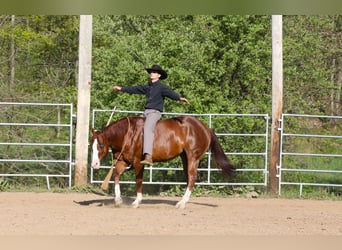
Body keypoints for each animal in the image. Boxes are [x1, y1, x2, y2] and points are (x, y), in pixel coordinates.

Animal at [91, 115, 235, 209]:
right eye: (91, 145)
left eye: (101, 144)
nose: (94, 164)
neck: (129, 134)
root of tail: (205, 127)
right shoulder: (123, 161)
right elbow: (116, 176)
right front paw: (118, 200)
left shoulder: (138, 163)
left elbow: (138, 180)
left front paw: (137, 202)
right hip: (185, 158)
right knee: (189, 178)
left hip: (193, 157)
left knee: (193, 177)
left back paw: (182, 203)